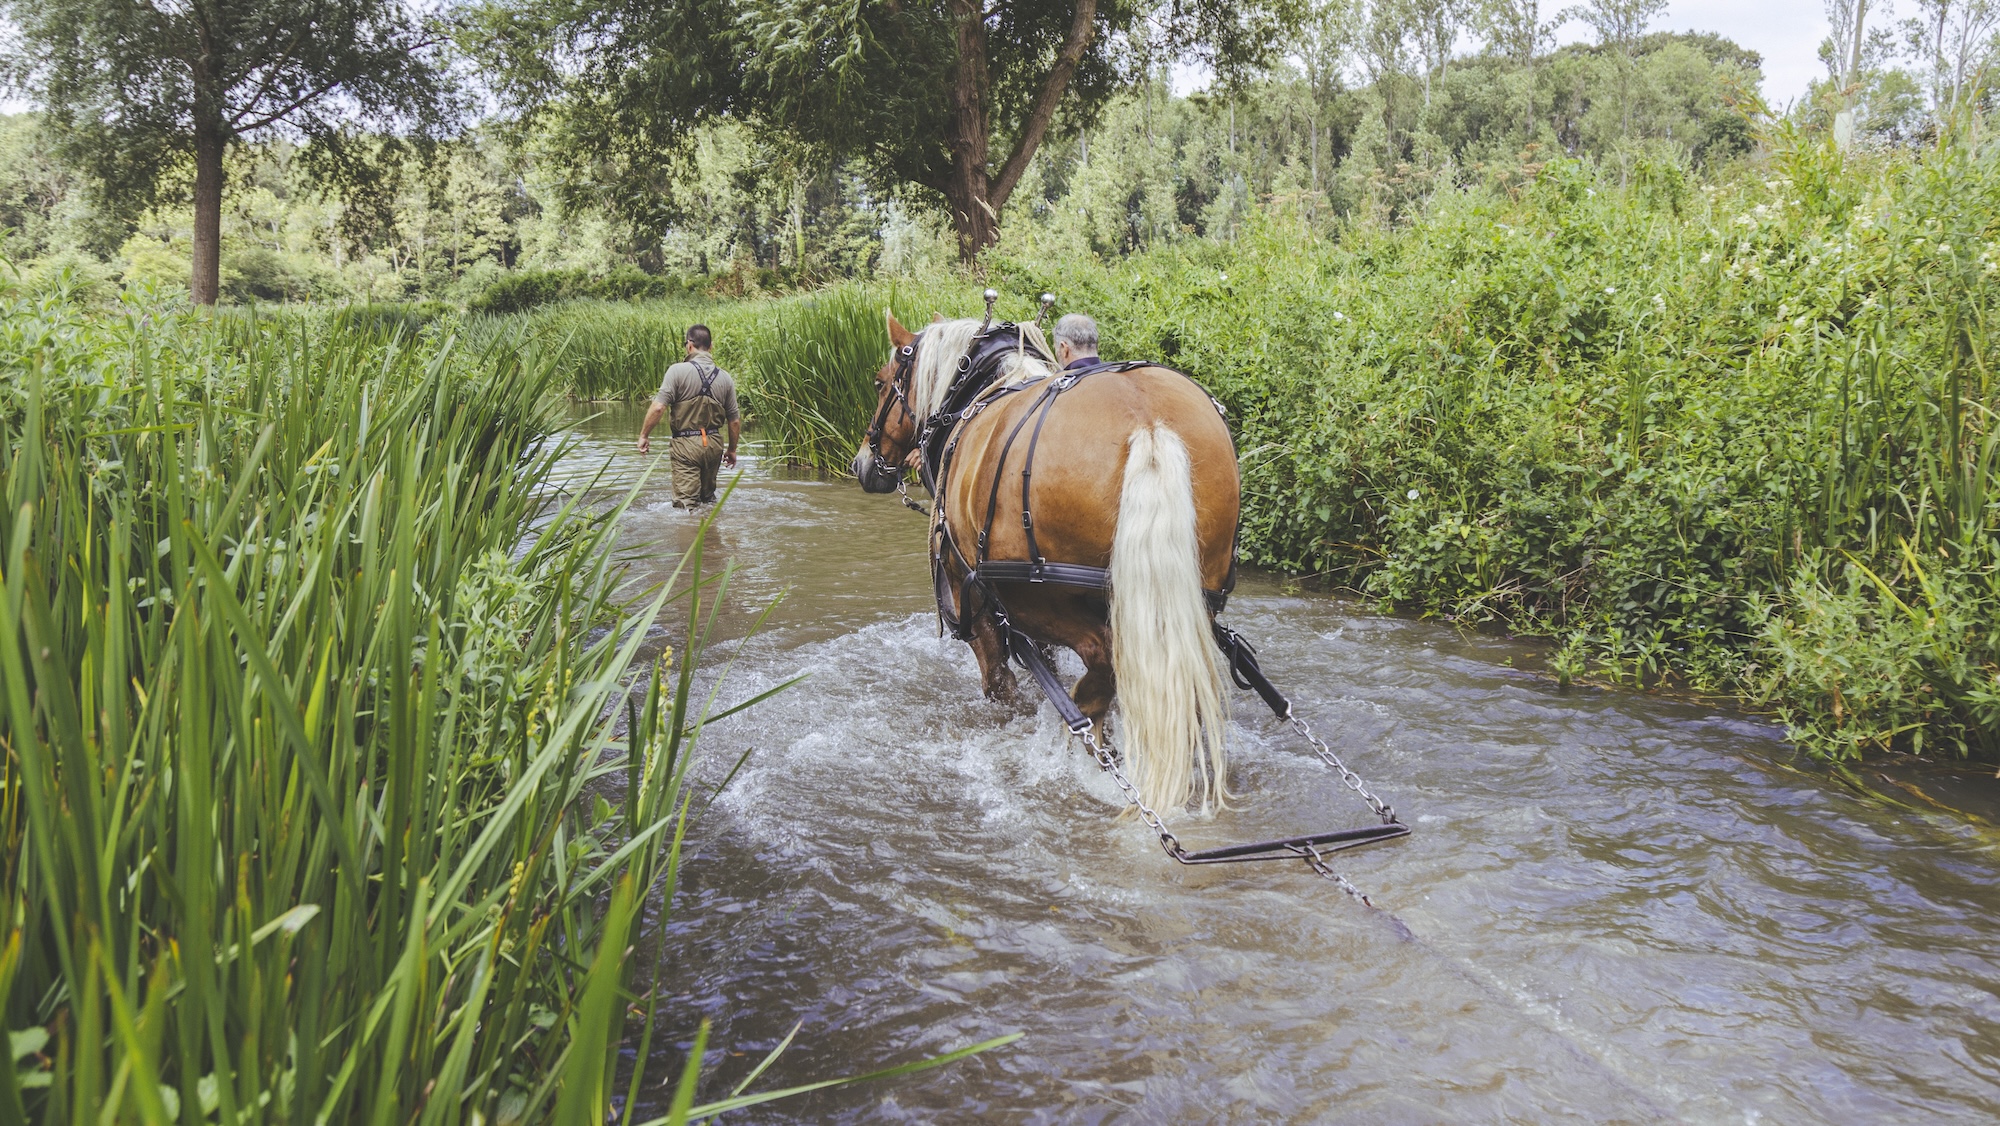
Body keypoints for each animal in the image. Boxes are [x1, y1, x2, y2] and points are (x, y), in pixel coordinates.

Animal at [850, 312, 1241, 815]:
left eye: (881, 383)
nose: (864, 464)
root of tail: (1149, 424)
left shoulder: (971, 591)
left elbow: (999, 682)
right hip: (1194, 597)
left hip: (1033, 595)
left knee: (1101, 661)